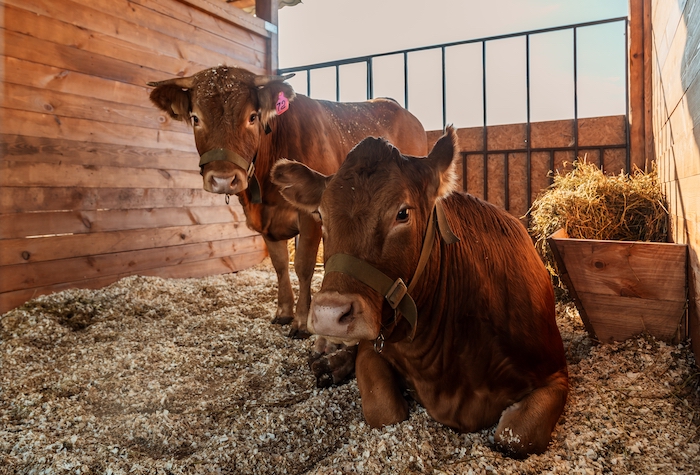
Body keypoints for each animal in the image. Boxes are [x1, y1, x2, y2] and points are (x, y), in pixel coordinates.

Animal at [270, 126, 572, 458]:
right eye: (321, 216)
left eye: (403, 213)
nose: (328, 314)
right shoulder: (375, 347)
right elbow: (383, 409)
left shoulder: (555, 374)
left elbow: (516, 437)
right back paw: (327, 365)